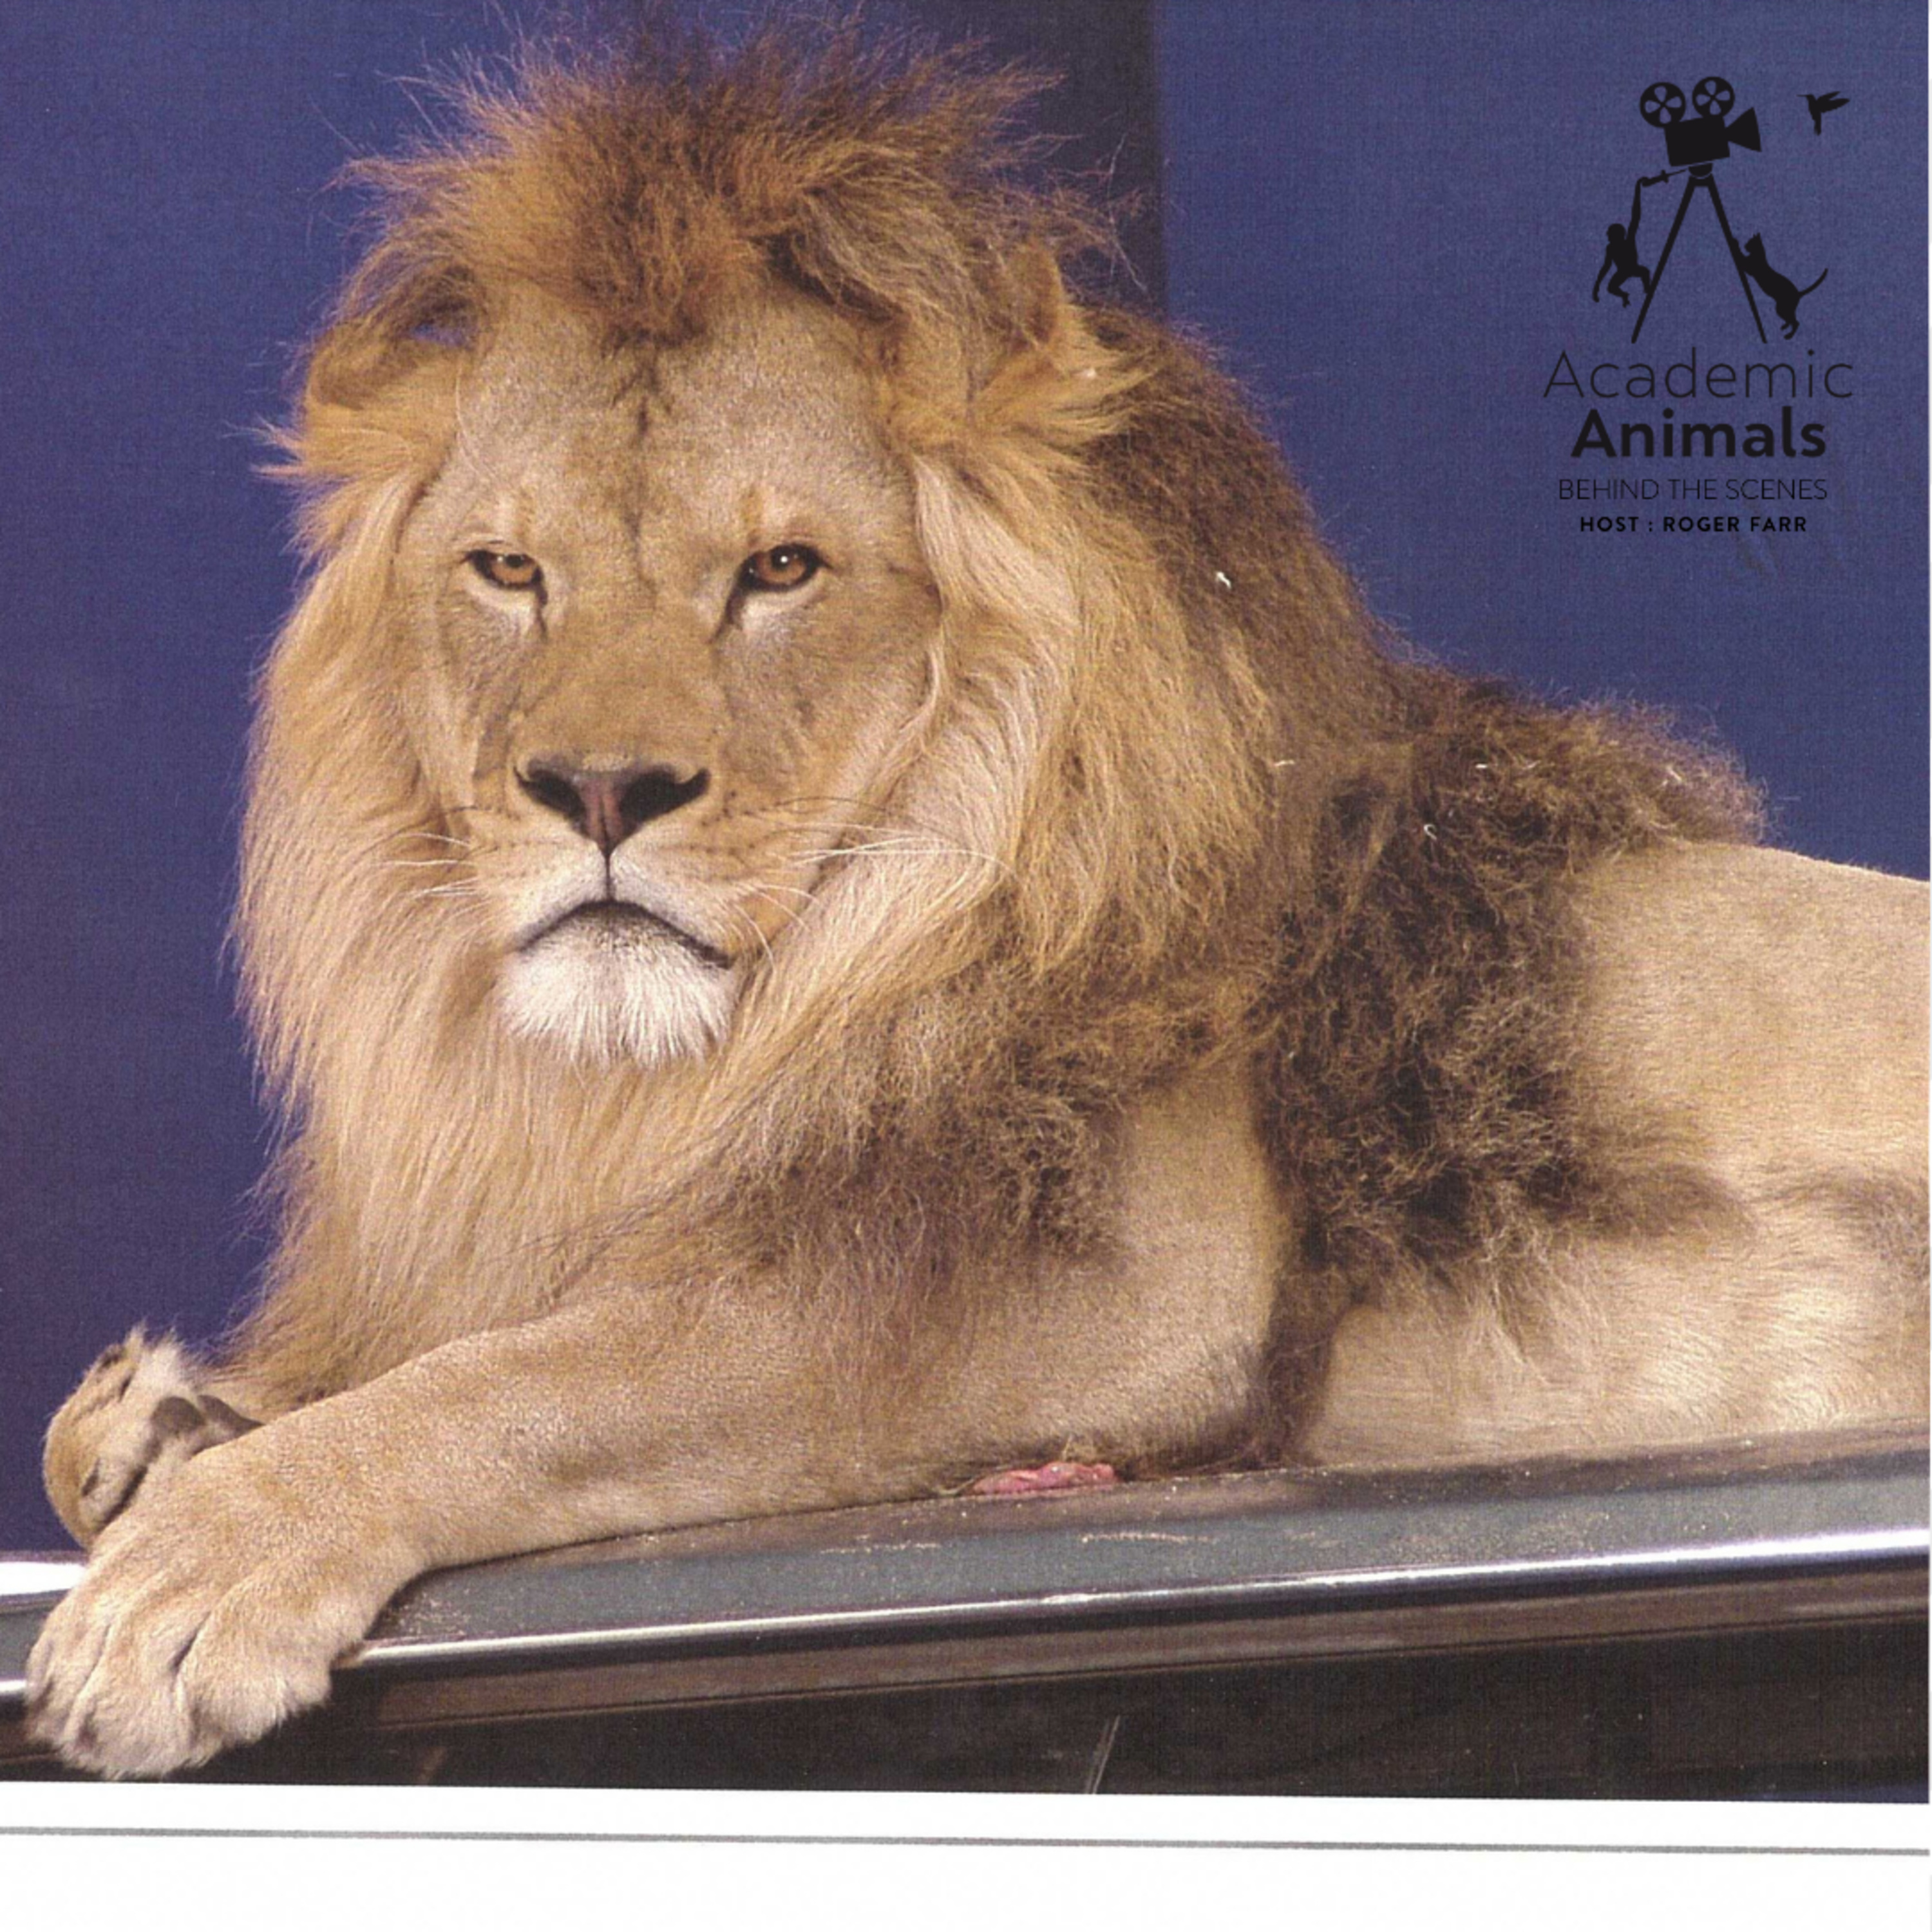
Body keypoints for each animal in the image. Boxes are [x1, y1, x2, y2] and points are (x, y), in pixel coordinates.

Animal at [27, 27, 1928, 1778]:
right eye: (507, 571)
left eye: (780, 568)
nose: (597, 793)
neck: (691, 1058)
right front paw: (165, 1421)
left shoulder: (1105, 1294)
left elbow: (541, 1375)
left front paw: (197, 1564)